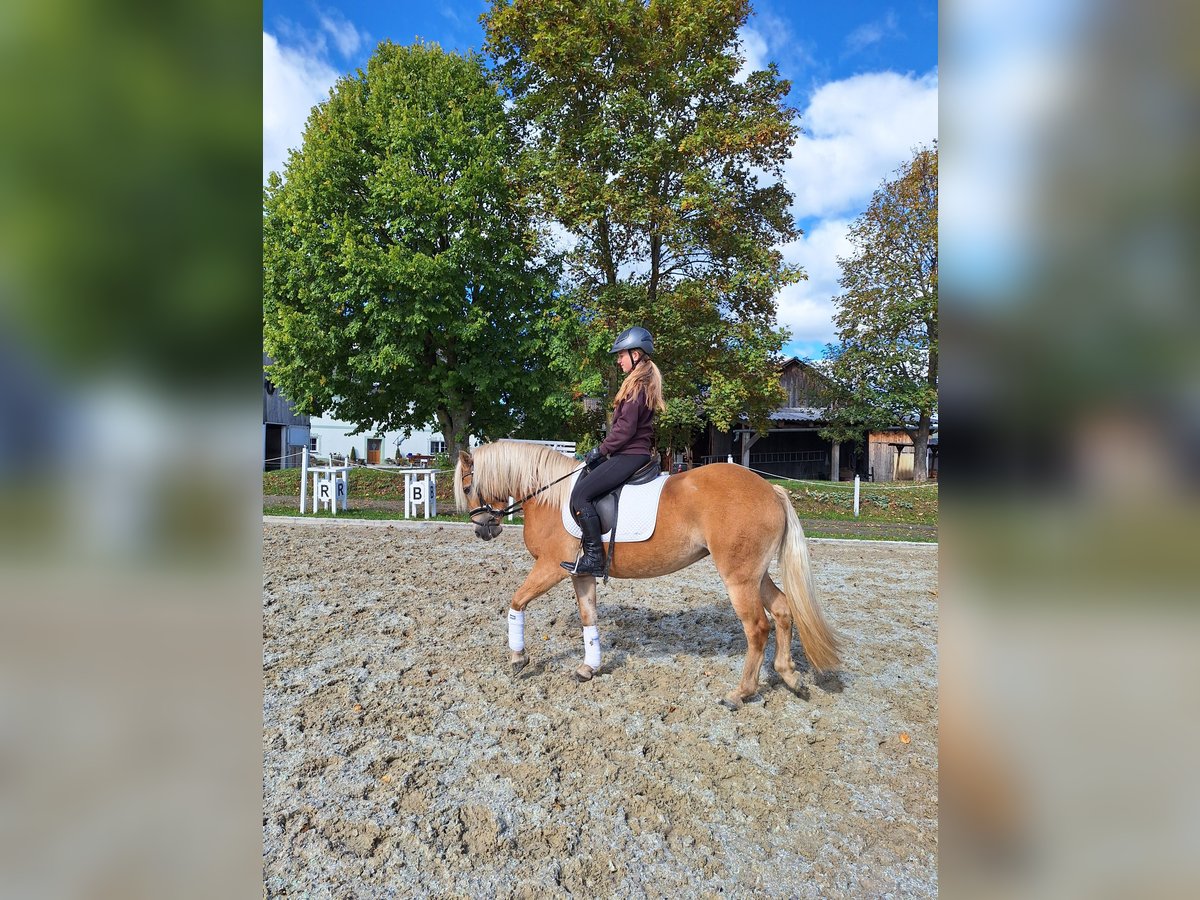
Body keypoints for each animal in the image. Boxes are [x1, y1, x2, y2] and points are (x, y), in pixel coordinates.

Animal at [453, 441, 840, 710]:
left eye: (469, 487)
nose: (482, 529)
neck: (549, 495)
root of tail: (769, 489)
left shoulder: (549, 568)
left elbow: (517, 602)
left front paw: (518, 658)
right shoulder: (580, 573)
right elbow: (588, 618)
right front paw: (589, 668)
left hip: (739, 577)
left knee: (758, 628)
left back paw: (740, 693)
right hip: (755, 575)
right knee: (783, 611)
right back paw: (790, 676)